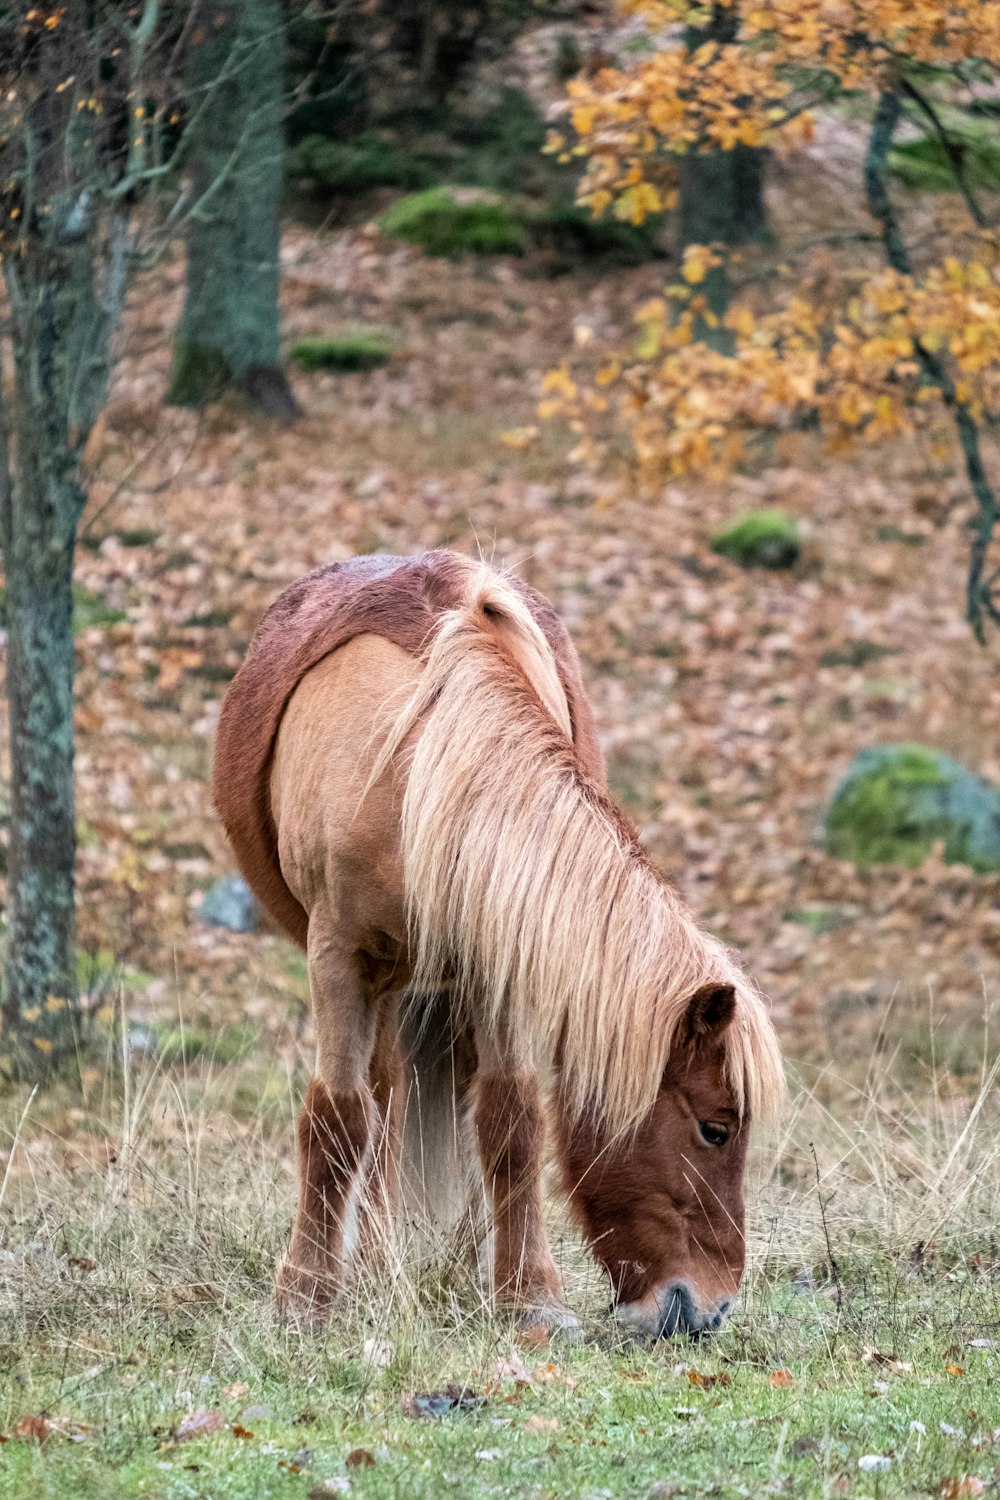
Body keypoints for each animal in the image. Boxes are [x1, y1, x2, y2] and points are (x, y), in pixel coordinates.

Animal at [215, 552, 785, 1338]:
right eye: (716, 1129)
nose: (707, 1309)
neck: (416, 772)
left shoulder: (501, 964)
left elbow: (512, 1120)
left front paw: (528, 1298)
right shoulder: (336, 959)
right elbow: (336, 1117)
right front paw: (304, 1300)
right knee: (376, 1105)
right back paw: (368, 1267)